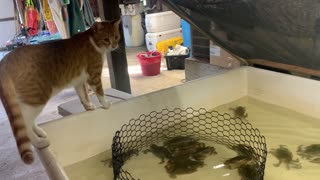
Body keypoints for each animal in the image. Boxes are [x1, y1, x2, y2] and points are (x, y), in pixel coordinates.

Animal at [0, 19, 121, 164]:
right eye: (106, 39)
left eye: (116, 37)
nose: (114, 46)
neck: (92, 40)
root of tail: (5, 61)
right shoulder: (94, 77)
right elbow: (100, 92)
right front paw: (106, 104)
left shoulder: (78, 82)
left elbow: (83, 96)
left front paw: (89, 107)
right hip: (37, 98)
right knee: (25, 123)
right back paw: (39, 142)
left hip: (25, 101)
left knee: (25, 120)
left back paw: (39, 132)